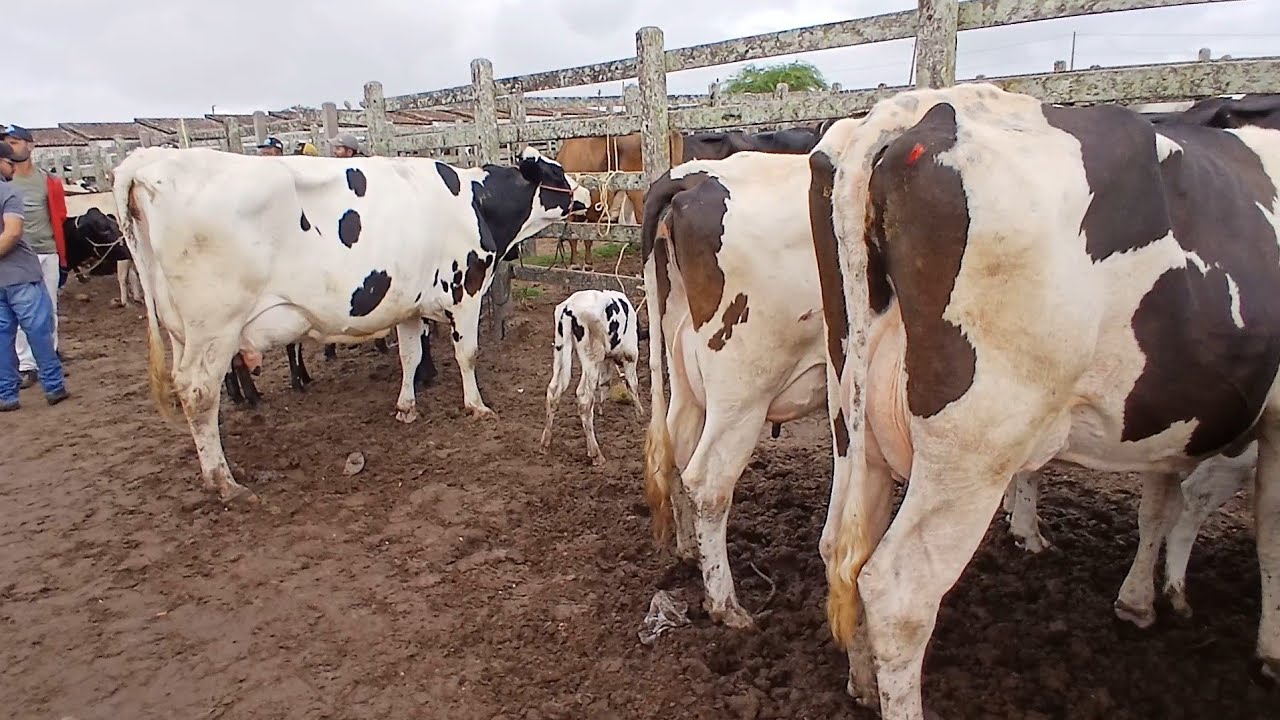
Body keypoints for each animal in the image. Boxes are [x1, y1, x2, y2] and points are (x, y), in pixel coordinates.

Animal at [114, 145, 589, 504]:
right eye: (557, 173)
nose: (585, 193)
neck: (475, 203)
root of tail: (148, 163)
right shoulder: (466, 290)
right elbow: (466, 354)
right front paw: (476, 406)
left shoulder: (408, 304)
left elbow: (409, 356)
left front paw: (406, 406)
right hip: (215, 326)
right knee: (199, 394)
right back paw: (224, 481)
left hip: (182, 331)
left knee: (187, 389)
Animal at [538, 289, 644, 466]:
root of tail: (569, 307)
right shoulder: (630, 355)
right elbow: (632, 384)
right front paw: (640, 415)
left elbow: (605, 383)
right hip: (592, 357)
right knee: (584, 398)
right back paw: (595, 453)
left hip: (561, 351)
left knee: (553, 391)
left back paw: (545, 444)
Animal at [639, 151, 829, 627]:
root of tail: (687, 179)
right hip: (742, 393)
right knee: (708, 482)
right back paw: (726, 604)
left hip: (685, 369)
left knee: (677, 449)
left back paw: (690, 552)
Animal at [808, 83, 1280, 718]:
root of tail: (911, 113)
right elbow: (1271, 531)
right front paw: (1270, 651)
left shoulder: (1164, 419)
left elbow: (1158, 503)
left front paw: (1137, 602)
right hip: (976, 445)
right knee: (899, 591)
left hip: (855, 416)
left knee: (843, 548)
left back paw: (860, 684)